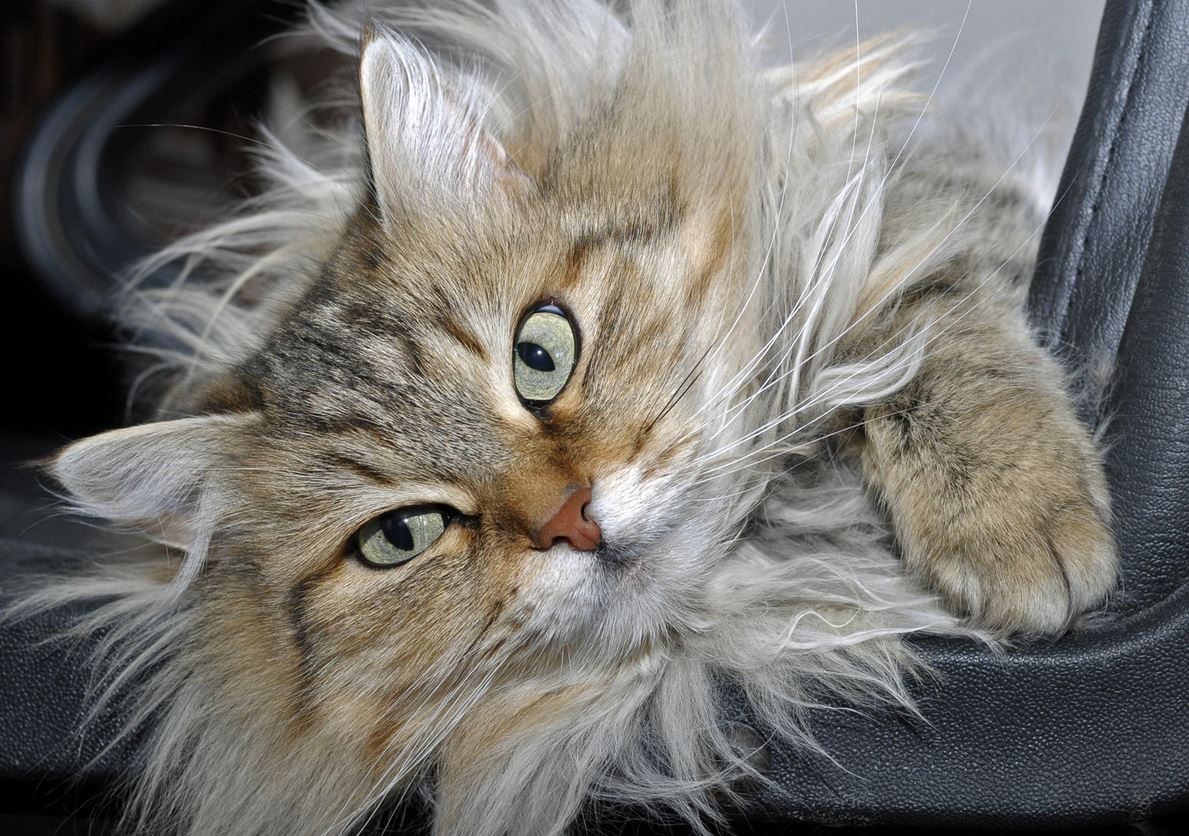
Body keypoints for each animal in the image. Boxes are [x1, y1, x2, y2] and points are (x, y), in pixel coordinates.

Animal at [11, 1, 1112, 836]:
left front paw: (1015, 520)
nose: (572, 518)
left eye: (540, 354)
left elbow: (922, 316)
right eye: (400, 536)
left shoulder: (898, 194)